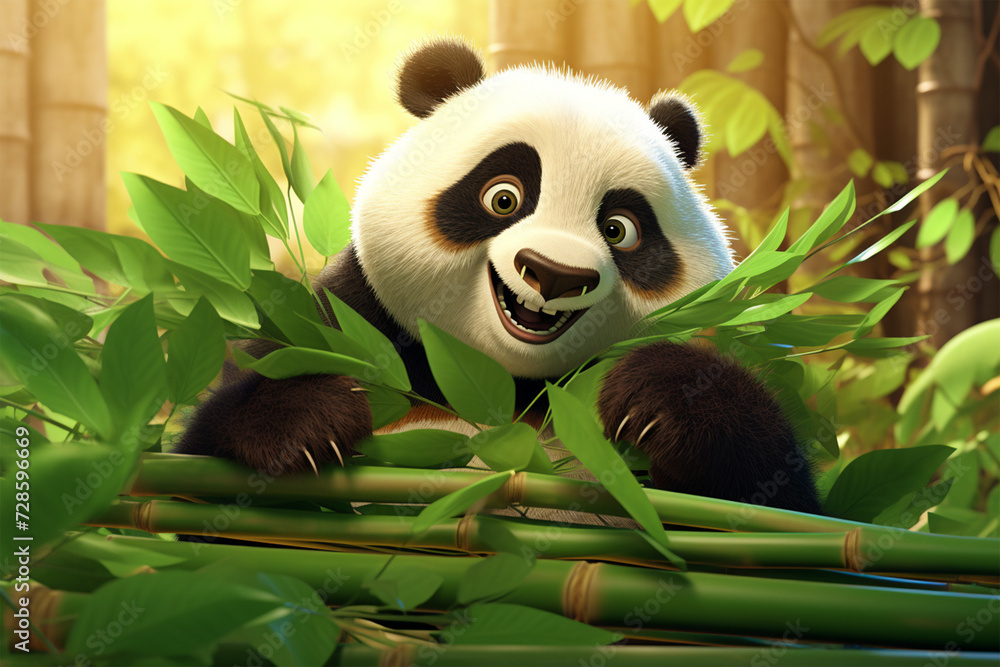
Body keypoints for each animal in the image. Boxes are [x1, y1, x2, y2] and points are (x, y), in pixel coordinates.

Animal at [176, 38, 822, 516]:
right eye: (503, 197)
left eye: (620, 229)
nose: (555, 274)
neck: (500, 384)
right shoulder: (346, 319)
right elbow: (203, 462)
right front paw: (306, 420)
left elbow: (783, 505)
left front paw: (661, 399)